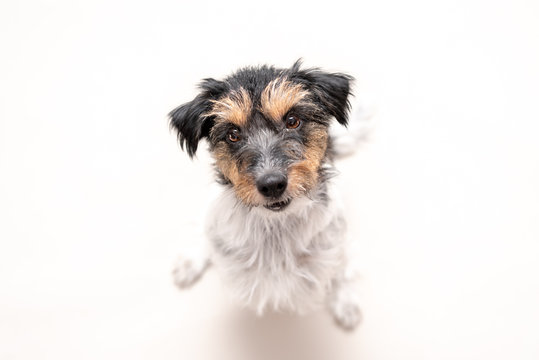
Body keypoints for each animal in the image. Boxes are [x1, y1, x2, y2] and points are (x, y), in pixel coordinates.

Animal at [170, 60, 362, 330]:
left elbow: (343, 269)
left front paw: (346, 304)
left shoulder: (337, 241)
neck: (276, 228)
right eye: (233, 134)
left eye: (292, 120)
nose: (272, 184)